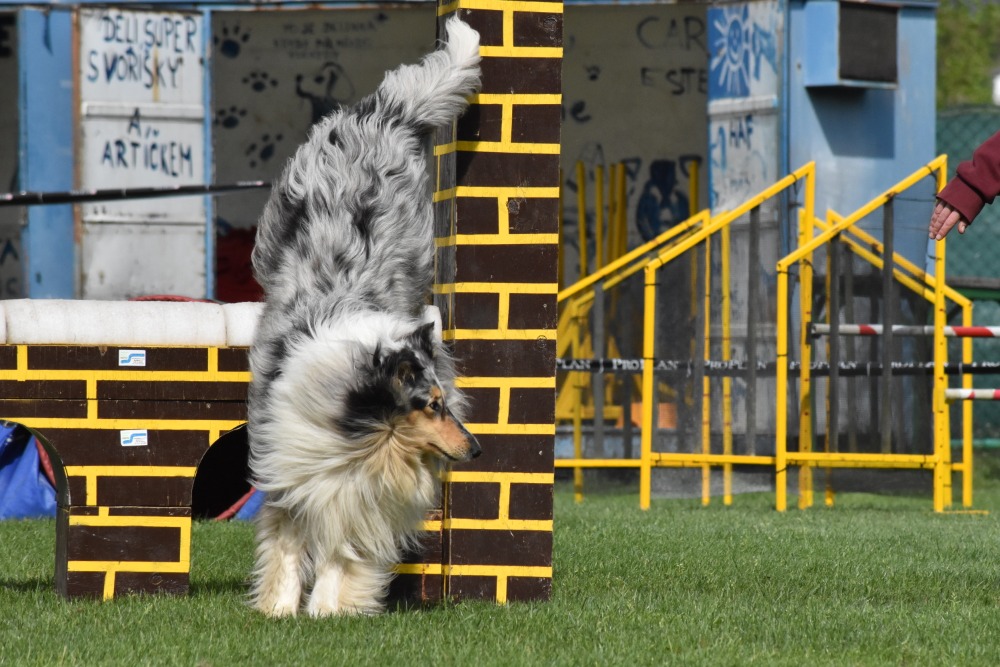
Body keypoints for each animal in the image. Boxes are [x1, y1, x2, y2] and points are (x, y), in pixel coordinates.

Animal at [246, 16, 482, 617]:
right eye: (431, 406)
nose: (476, 448)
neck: (369, 433)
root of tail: (385, 114)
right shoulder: (296, 463)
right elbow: (287, 542)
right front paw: (279, 609)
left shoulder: (358, 489)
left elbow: (344, 551)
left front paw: (329, 608)